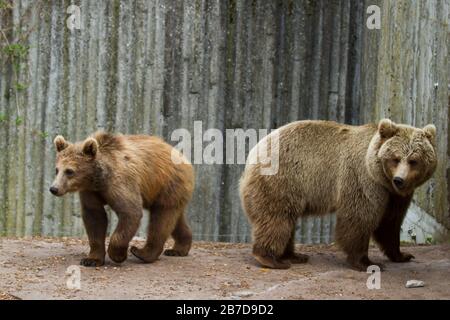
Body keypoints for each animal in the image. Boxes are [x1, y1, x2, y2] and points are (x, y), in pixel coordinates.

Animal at [51, 131, 195, 266]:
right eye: (57, 170)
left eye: (69, 171)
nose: (54, 188)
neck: (98, 178)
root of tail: (184, 157)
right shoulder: (90, 191)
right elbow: (94, 217)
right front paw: (91, 259)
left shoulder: (120, 183)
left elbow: (130, 211)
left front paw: (118, 255)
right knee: (174, 218)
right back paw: (178, 249)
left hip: (167, 183)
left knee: (162, 218)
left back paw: (142, 252)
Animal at [241, 120, 438, 270]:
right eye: (395, 158)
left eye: (414, 161)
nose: (399, 180)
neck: (381, 177)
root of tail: (255, 150)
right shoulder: (364, 180)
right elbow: (359, 218)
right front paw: (365, 262)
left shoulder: (394, 196)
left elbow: (390, 223)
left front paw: (402, 254)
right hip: (283, 180)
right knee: (277, 218)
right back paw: (272, 259)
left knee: (286, 220)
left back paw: (294, 255)